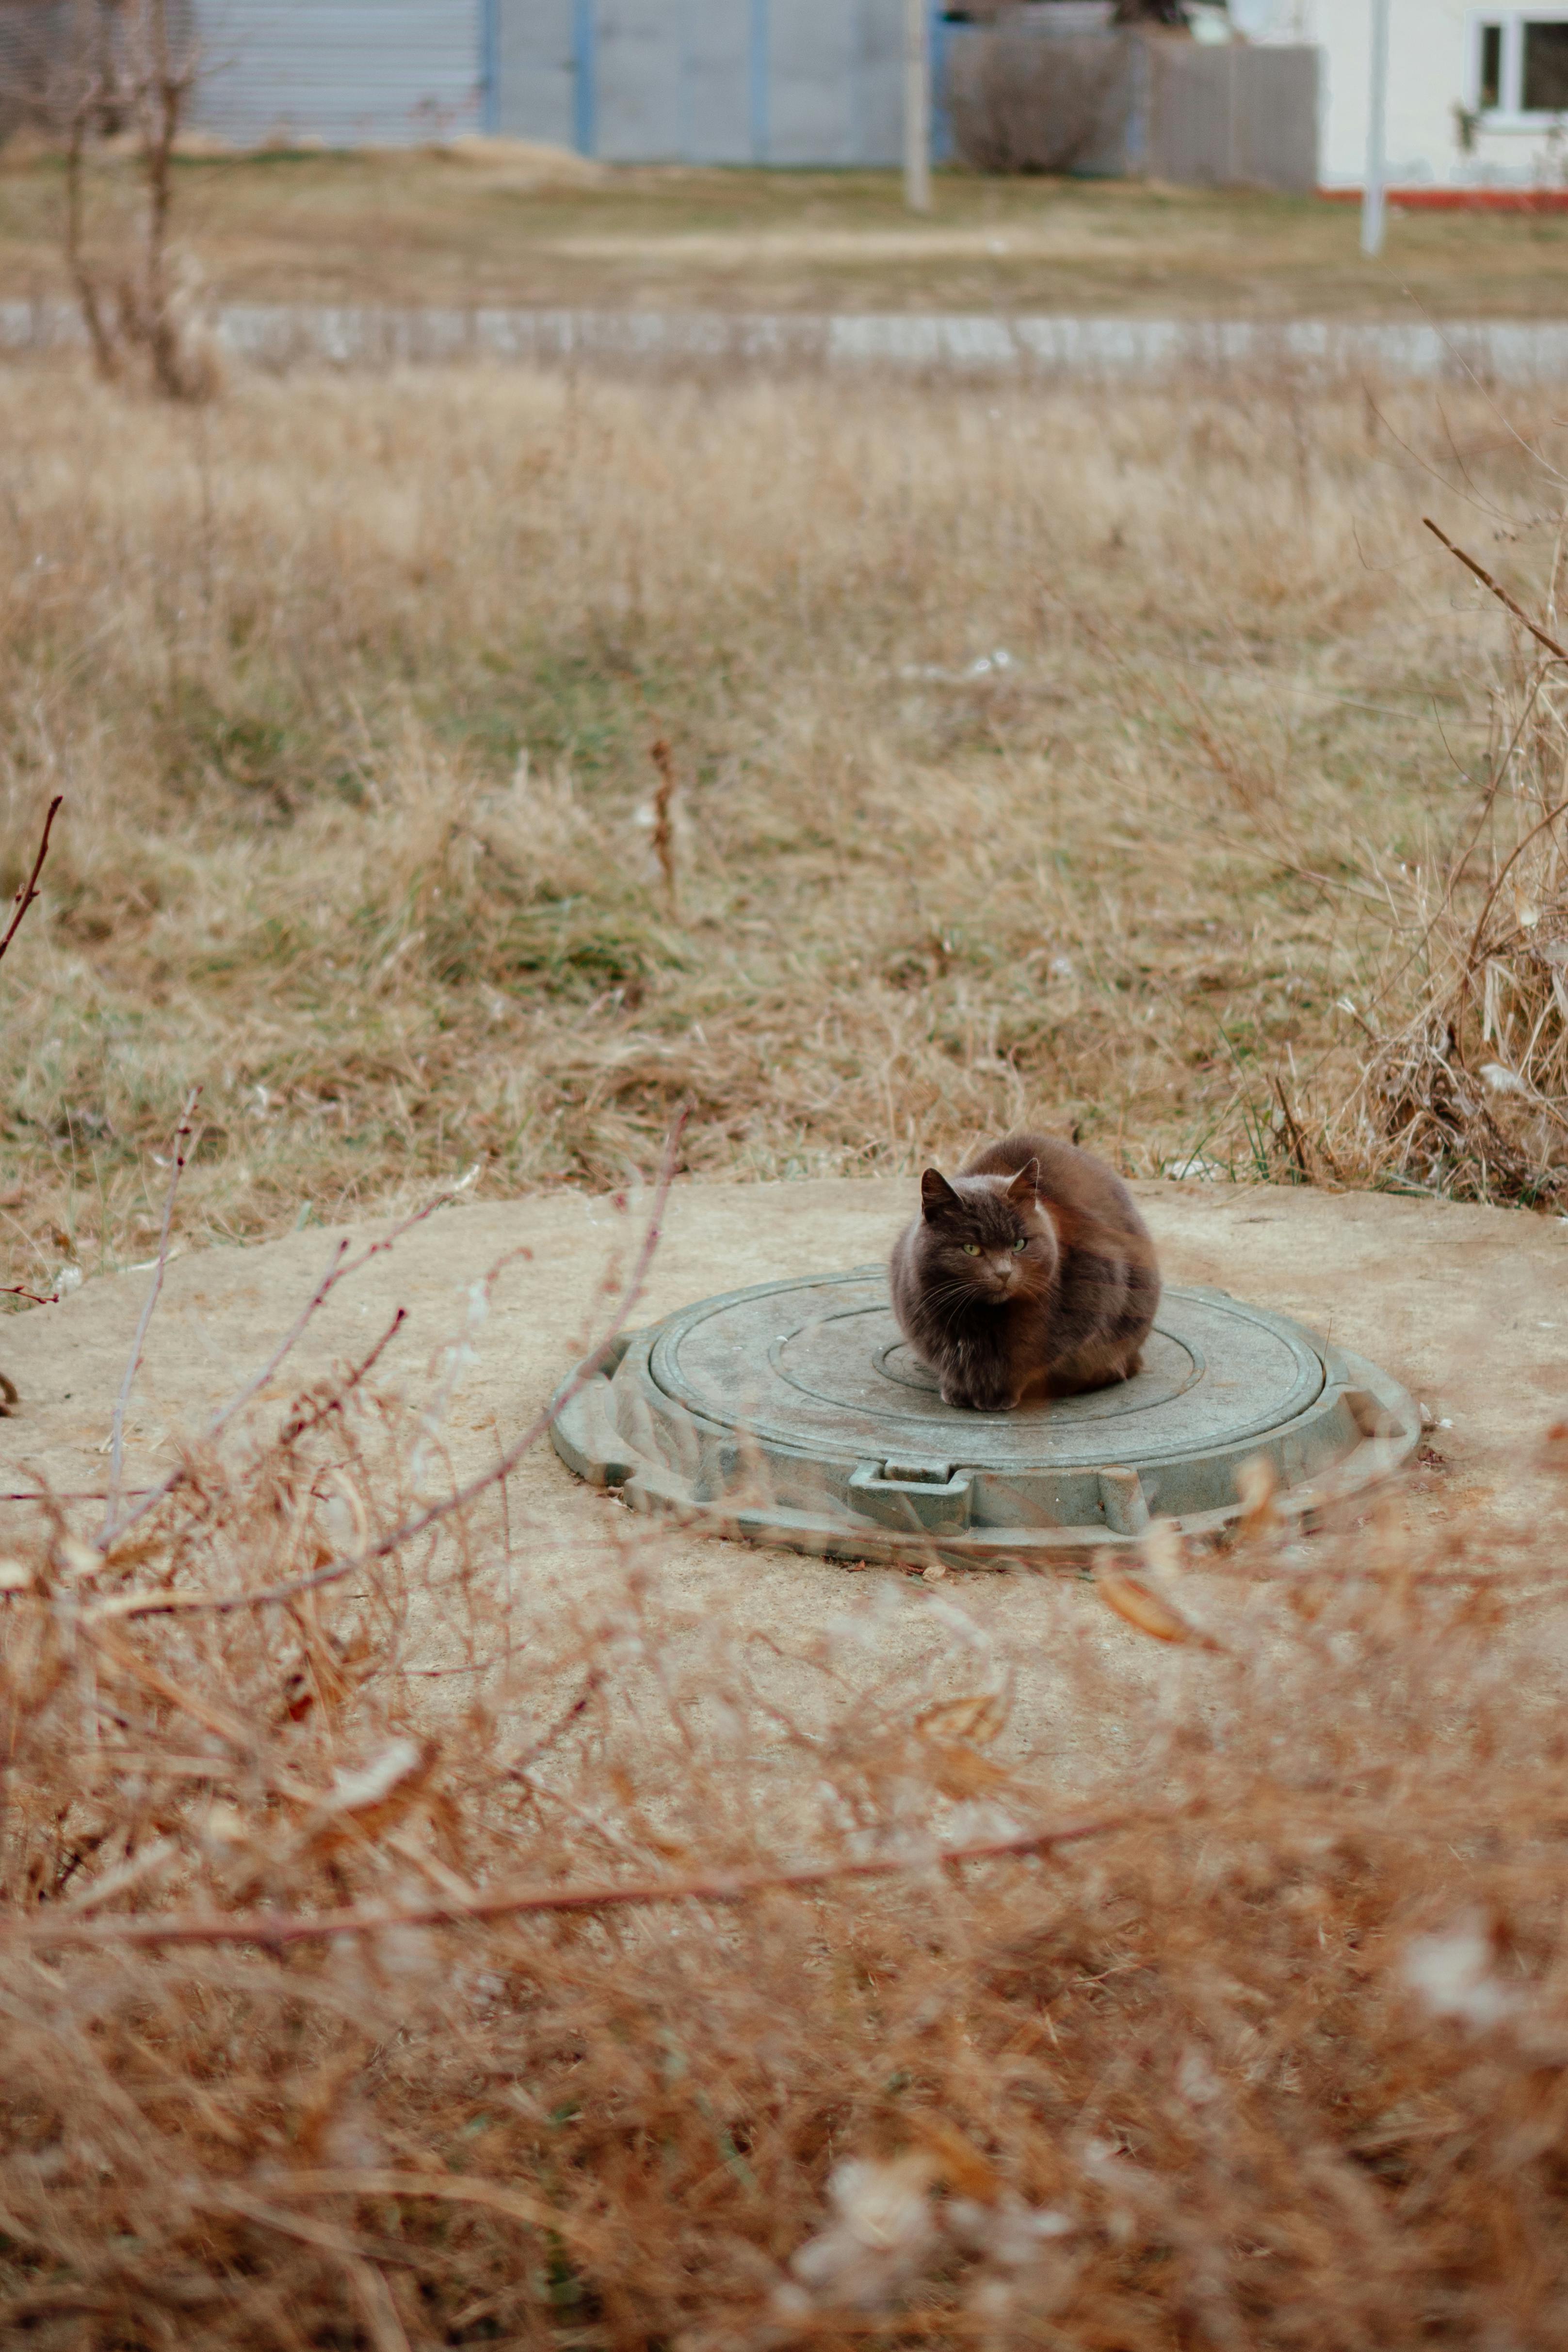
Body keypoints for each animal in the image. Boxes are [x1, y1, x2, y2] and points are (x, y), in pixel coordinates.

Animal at [889, 1134, 1161, 1411]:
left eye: (1019, 1244)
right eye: (971, 1248)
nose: (1004, 1273)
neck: (984, 1321)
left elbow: (1029, 1363)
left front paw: (1000, 1394)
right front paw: (958, 1390)